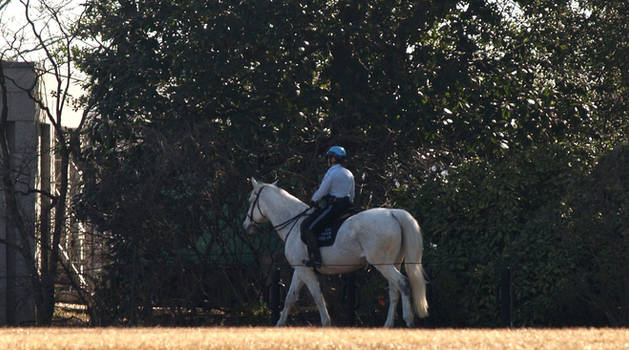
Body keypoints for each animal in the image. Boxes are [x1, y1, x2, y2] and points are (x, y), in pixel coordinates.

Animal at [240, 178, 426, 328]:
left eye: (251, 200)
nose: (246, 225)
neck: (294, 222)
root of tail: (393, 213)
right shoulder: (300, 270)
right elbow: (290, 298)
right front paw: (279, 325)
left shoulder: (305, 271)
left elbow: (317, 296)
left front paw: (326, 323)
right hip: (393, 263)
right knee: (394, 291)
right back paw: (388, 325)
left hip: (383, 264)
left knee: (402, 283)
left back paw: (408, 321)